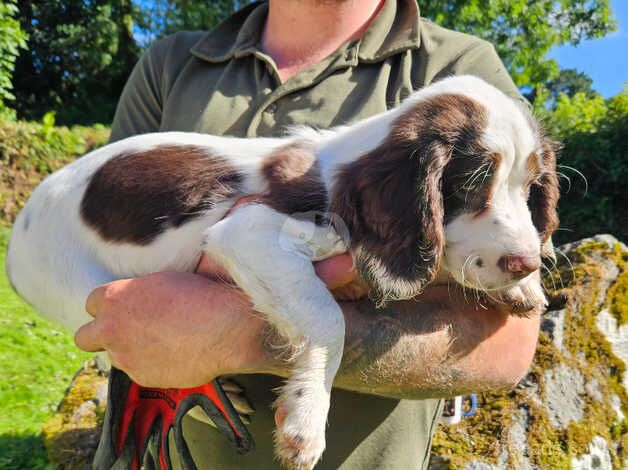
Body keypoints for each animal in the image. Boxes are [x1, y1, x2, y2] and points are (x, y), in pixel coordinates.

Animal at [6, 75, 560, 468]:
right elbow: (327, 317)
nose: (525, 261)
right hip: (83, 288)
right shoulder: (247, 230)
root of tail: (20, 227)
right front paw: (306, 420)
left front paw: (525, 286)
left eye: (531, 186)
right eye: (470, 181)